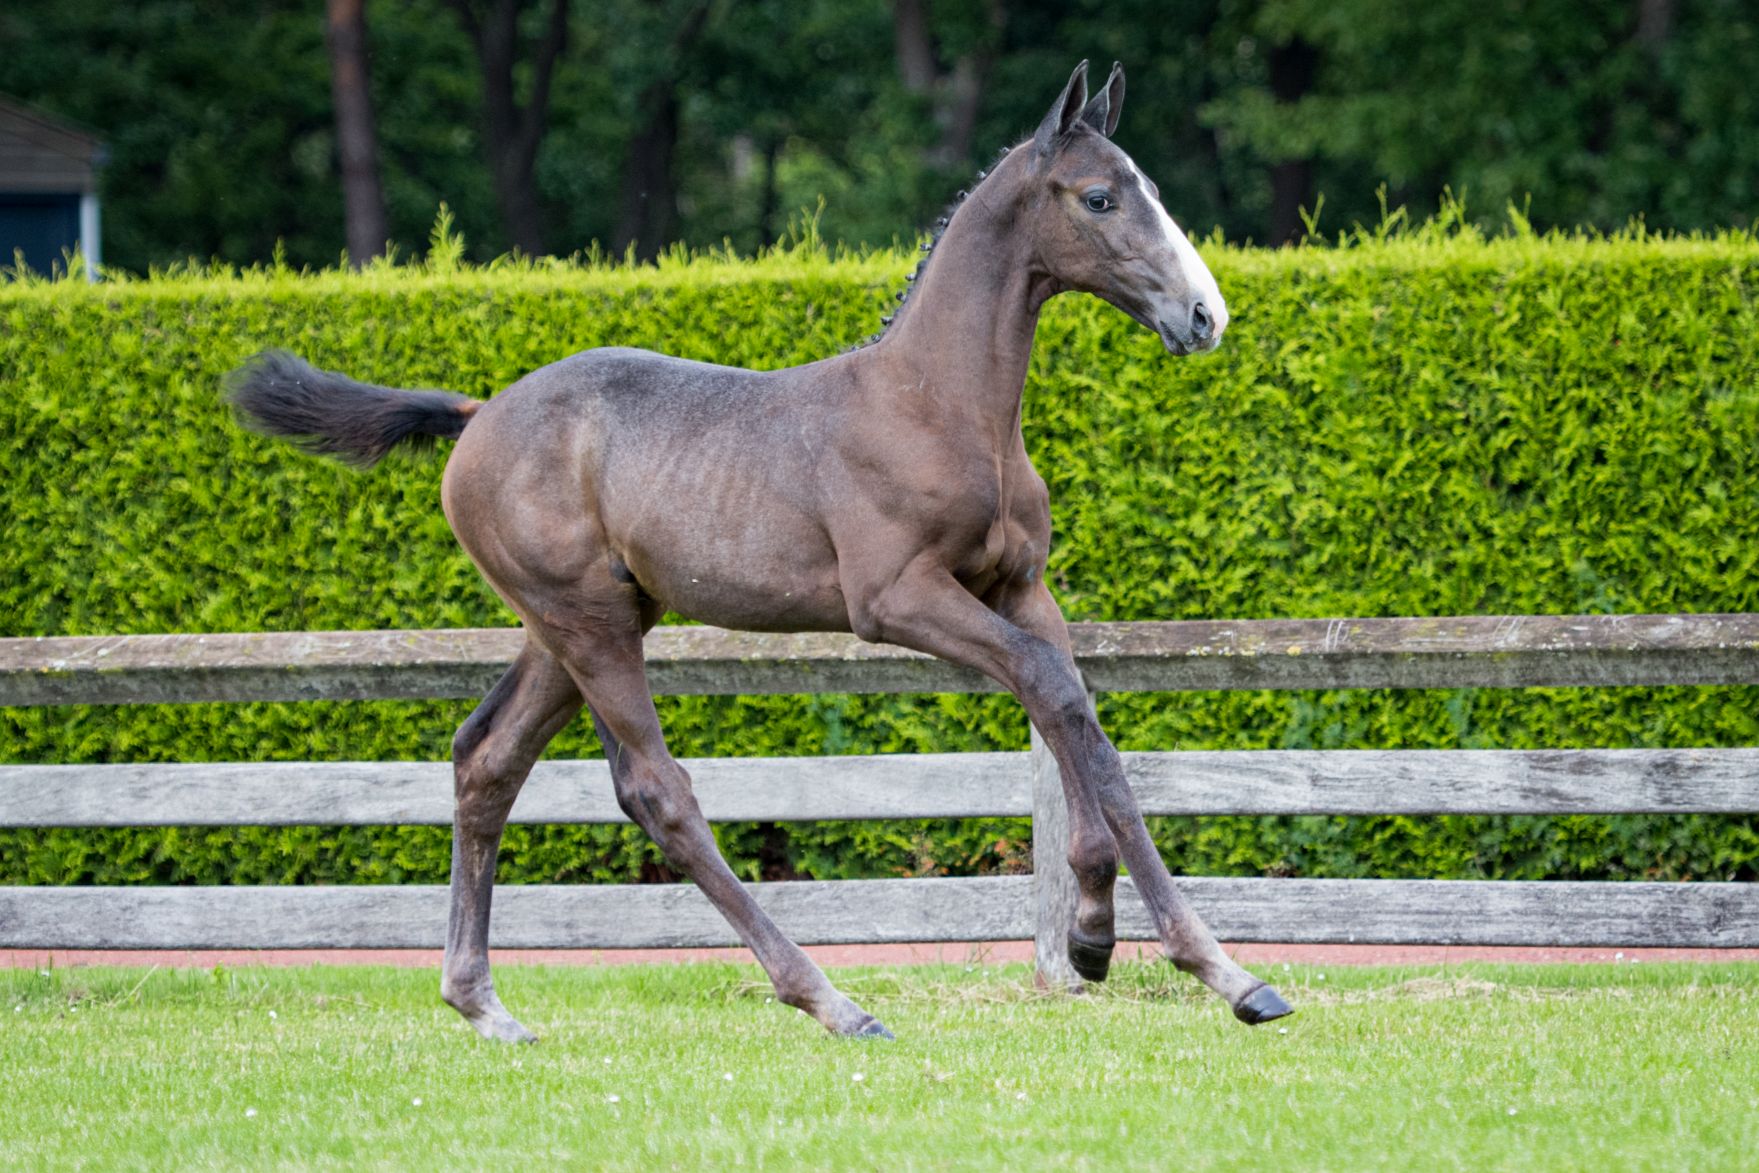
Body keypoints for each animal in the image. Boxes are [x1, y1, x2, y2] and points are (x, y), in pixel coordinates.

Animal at [228, 60, 1292, 1042]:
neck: (940, 406)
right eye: (1100, 196)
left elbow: (1076, 714)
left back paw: (483, 1002)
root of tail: (478, 413)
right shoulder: (895, 599)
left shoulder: (1018, 588)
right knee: (654, 791)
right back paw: (829, 997)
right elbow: (1053, 690)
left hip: (576, 625)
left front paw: (1116, 941)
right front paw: (1195, 960)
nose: (1205, 315)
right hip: (588, 623)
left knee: (485, 760)